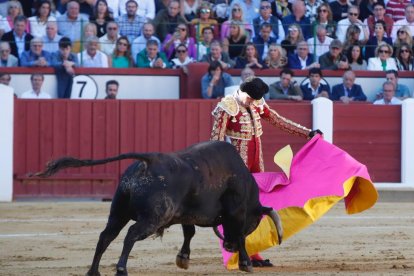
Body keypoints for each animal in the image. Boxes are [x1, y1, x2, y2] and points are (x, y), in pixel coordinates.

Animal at [34, 141, 284, 274]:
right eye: (254, 224)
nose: (228, 246)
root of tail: (149, 160)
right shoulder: (236, 213)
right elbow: (239, 237)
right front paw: (246, 263)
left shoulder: (186, 214)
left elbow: (189, 233)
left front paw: (183, 259)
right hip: (153, 218)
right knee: (130, 234)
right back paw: (121, 269)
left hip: (118, 212)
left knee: (106, 236)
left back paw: (93, 271)